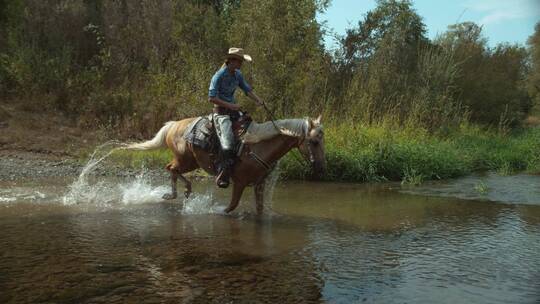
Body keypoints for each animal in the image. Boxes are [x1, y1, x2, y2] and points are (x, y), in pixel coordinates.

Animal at [126, 115, 324, 215]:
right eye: (314, 142)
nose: (321, 167)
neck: (259, 146)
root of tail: (174, 125)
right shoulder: (239, 182)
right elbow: (231, 207)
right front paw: (216, 209)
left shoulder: (259, 184)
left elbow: (259, 210)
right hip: (185, 161)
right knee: (171, 169)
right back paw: (174, 194)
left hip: (191, 162)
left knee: (171, 169)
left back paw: (185, 191)